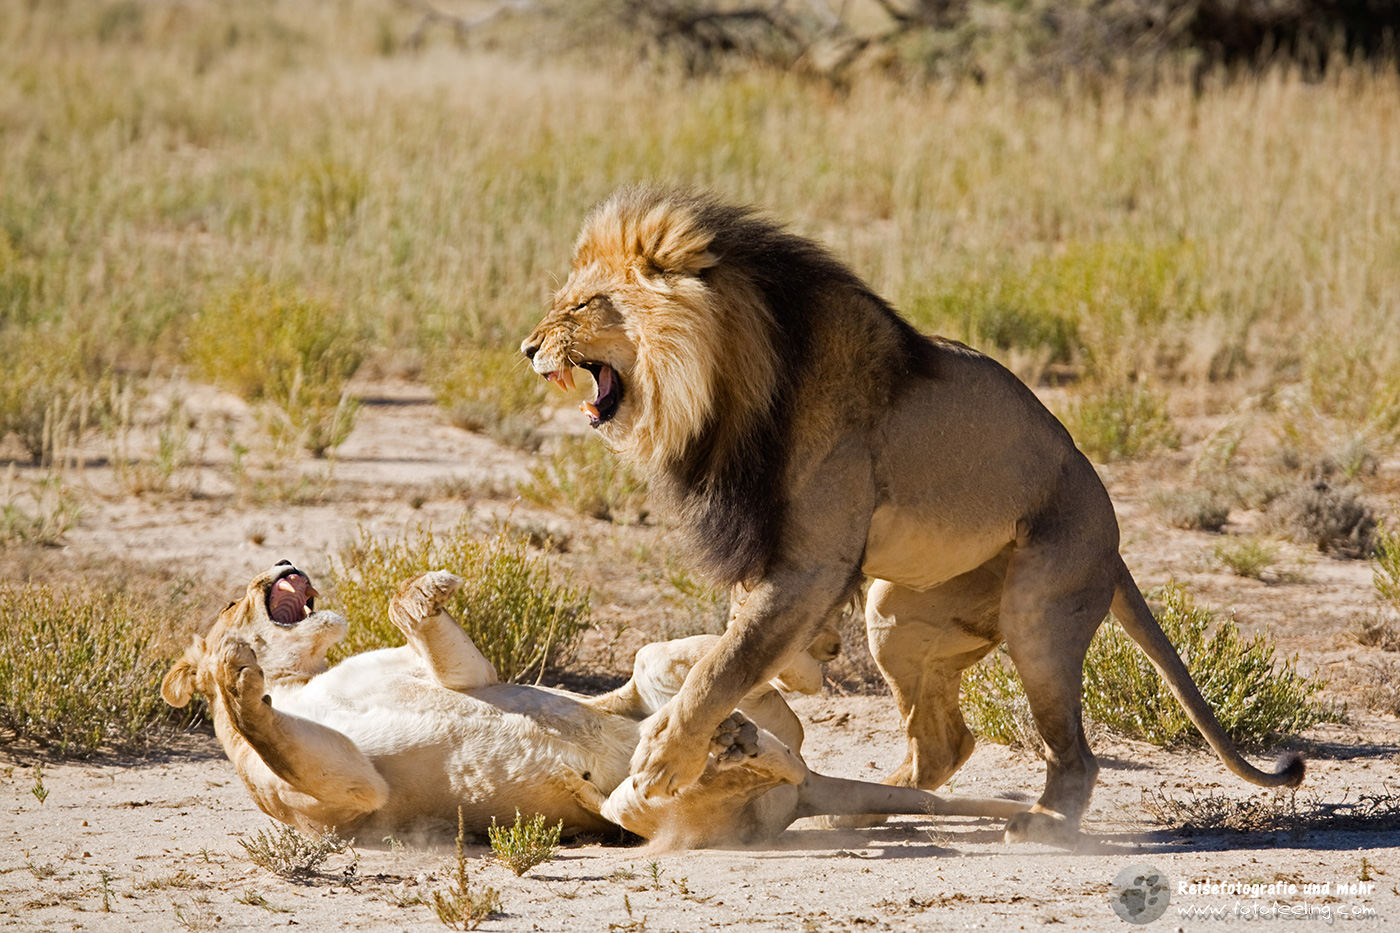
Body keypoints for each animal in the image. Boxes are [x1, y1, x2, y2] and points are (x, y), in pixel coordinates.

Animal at [162, 560, 1027, 848]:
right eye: (238, 598)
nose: (279, 561)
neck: (304, 677)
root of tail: (810, 790)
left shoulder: (461, 673)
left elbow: (442, 640)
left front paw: (423, 590)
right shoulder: (350, 798)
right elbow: (272, 736)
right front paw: (234, 678)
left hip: (659, 672)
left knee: (774, 709)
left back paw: (789, 670)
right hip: (649, 808)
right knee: (653, 800)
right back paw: (725, 751)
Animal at [521, 185, 1304, 847]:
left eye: (584, 306)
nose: (527, 348)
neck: (726, 383)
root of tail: (1115, 548)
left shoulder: (812, 563)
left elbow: (723, 663)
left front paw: (663, 758)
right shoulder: (773, 556)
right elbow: (739, 642)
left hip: (1041, 608)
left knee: (1075, 753)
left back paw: (1046, 825)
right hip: (895, 612)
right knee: (944, 743)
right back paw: (874, 804)